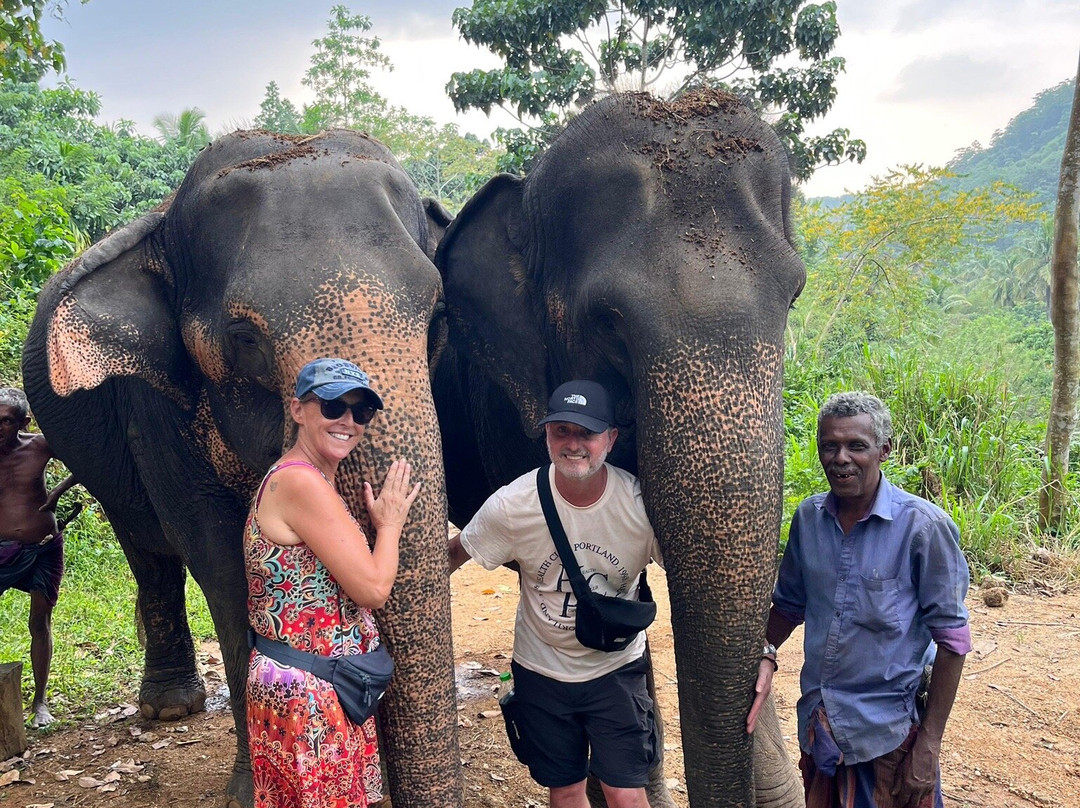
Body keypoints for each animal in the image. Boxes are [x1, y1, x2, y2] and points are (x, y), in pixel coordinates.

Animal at [21, 130, 462, 807]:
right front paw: (252, 791)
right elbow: (218, 559)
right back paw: (169, 709)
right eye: (244, 339)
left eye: (438, 316)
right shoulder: (154, 407)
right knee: (146, 549)